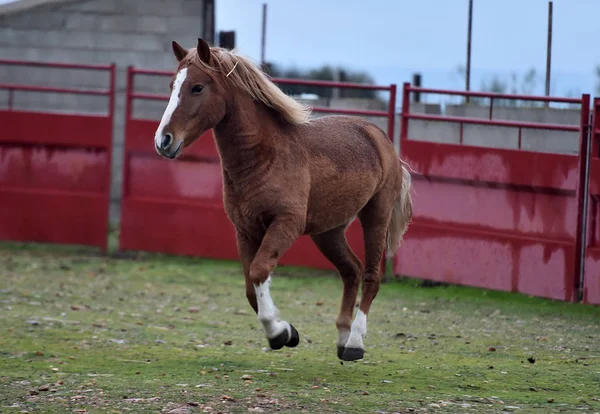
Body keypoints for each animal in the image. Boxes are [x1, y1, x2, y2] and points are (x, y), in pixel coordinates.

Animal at [154, 39, 412, 362]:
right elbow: (250, 286)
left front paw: (278, 333)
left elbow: (259, 271)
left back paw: (354, 343)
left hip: (375, 217)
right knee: (350, 270)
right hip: (328, 231)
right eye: (172, 85)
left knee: (370, 276)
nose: (163, 140)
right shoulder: (246, 231)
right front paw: (288, 331)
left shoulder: (285, 224)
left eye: (197, 87)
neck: (264, 156)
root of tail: (380, 137)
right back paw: (342, 338)